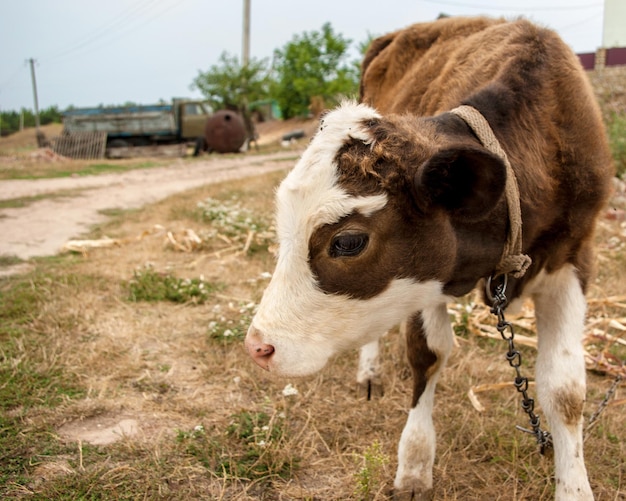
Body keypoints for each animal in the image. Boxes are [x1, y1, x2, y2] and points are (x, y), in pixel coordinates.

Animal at [243, 16, 608, 500]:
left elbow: (565, 390)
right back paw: (369, 369)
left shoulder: (575, 256)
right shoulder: (425, 282)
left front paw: (574, 486)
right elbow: (428, 353)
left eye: (347, 242)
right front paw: (415, 465)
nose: (258, 346)